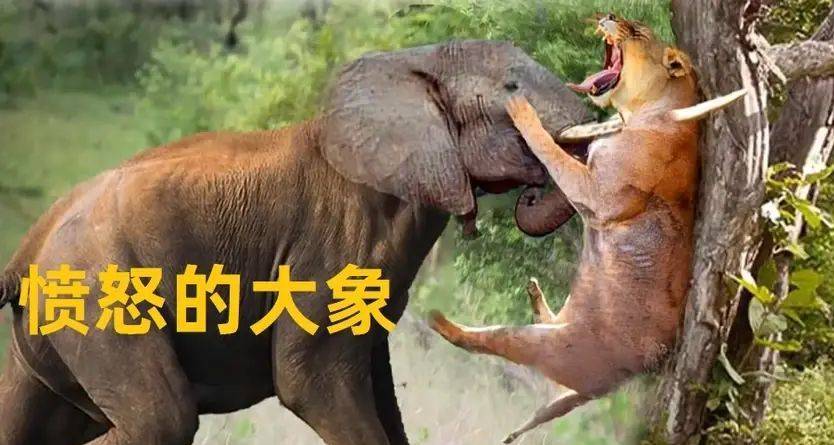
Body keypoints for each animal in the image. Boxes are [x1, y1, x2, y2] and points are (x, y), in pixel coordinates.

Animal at [0, 40, 592, 445]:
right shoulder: (331, 245)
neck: (408, 66)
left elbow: (379, 391)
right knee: (162, 419)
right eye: (512, 89)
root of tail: (26, 250)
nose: (531, 189)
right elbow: (311, 379)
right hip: (99, 298)